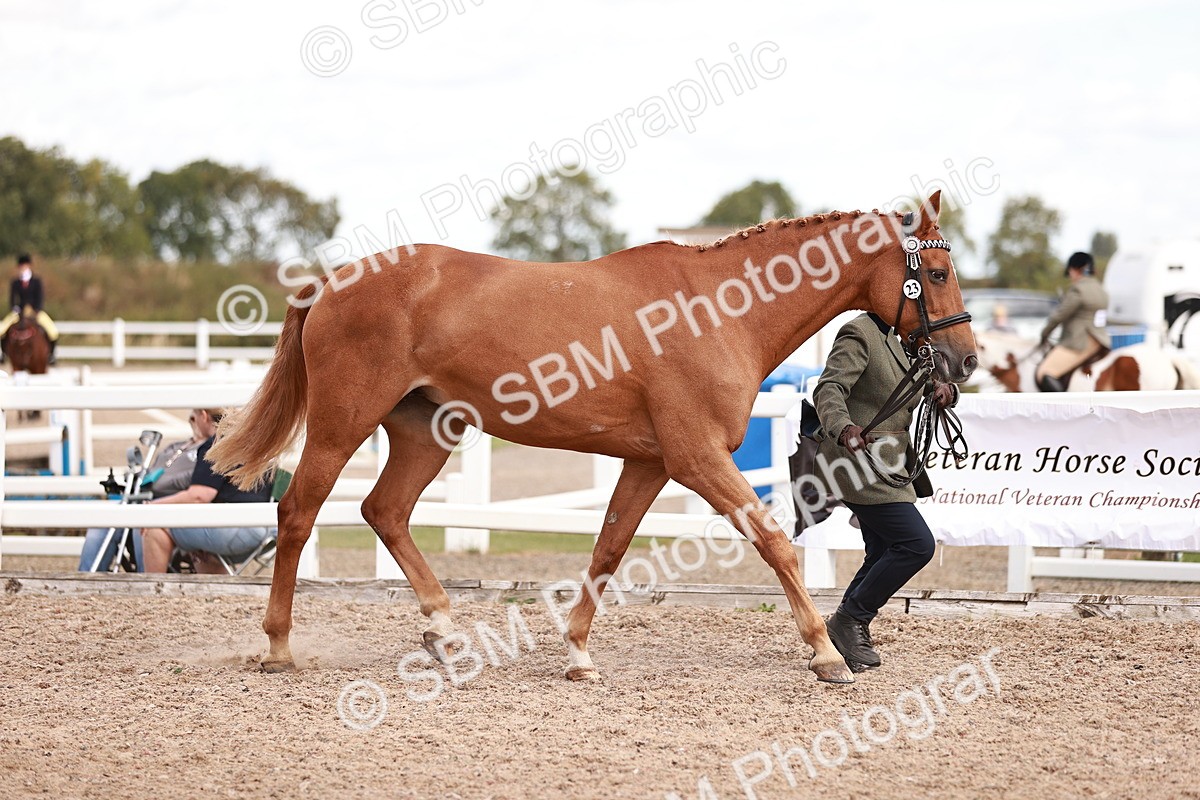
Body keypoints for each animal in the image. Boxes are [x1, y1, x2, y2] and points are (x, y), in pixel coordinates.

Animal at [209, 190, 977, 686]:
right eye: (936, 272)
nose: (965, 361)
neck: (721, 310)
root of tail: (331, 281)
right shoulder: (698, 459)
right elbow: (775, 543)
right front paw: (826, 655)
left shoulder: (649, 462)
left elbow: (608, 549)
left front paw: (577, 653)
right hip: (343, 423)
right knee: (298, 513)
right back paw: (278, 646)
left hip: (426, 431)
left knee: (385, 511)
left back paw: (445, 631)